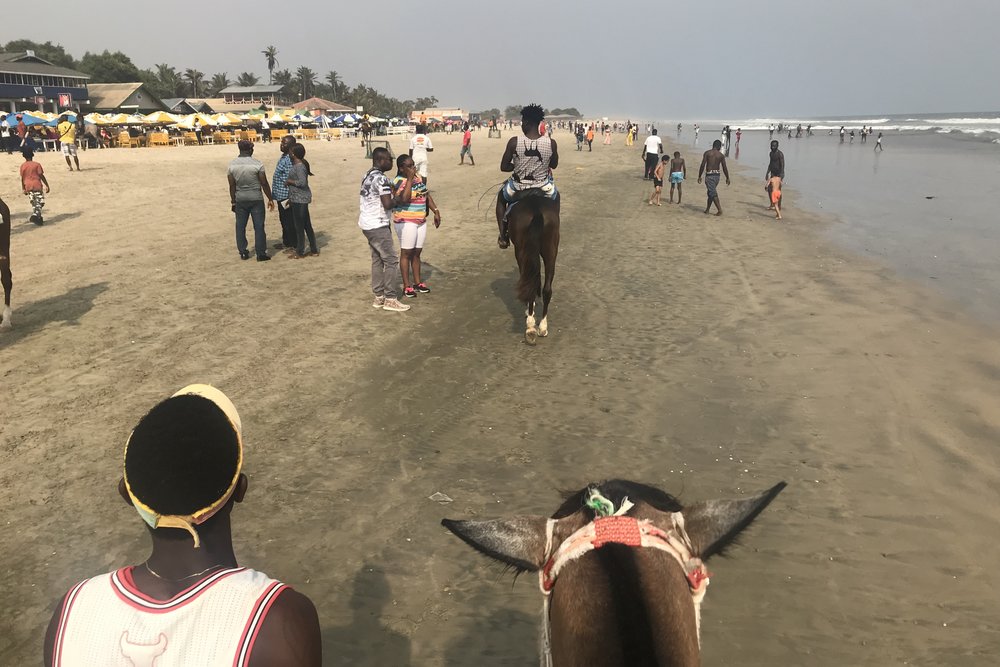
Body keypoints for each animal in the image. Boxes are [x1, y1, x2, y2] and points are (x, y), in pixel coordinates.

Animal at [504, 194, 560, 344]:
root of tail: (537, 211)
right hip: (551, 250)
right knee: (547, 289)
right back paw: (542, 327)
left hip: (521, 250)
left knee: (530, 282)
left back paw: (530, 327)